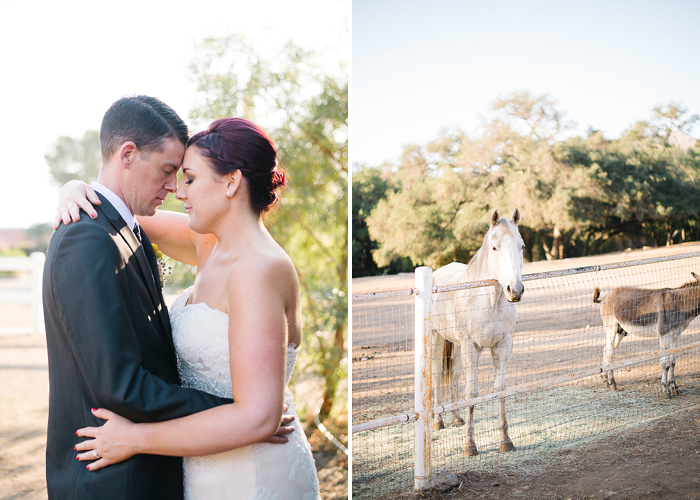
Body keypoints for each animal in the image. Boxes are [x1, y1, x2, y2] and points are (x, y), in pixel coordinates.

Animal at [430, 205, 524, 456]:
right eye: (494, 247)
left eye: (521, 246)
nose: (515, 290)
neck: (488, 301)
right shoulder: (471, 347)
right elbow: (472, 393)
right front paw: (469, 445)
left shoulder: (502, 346)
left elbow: (500, 389)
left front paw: (505, 441)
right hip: (436, 339)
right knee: (437, 375)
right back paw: (438, 421)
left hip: (456, 346)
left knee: (453, 375)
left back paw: (456, 417)